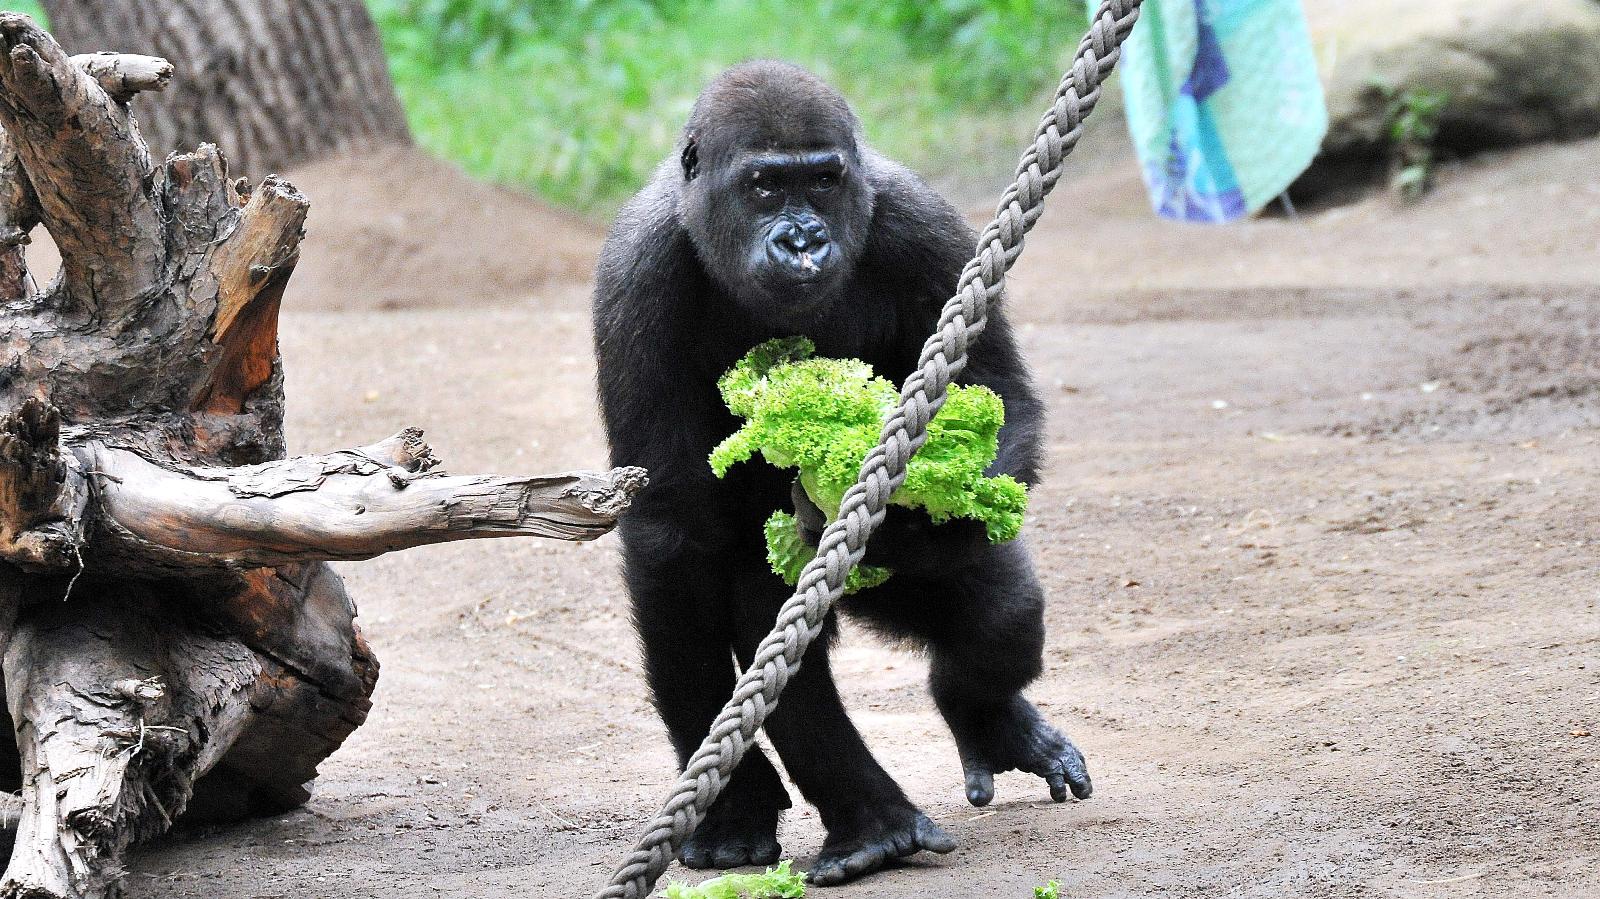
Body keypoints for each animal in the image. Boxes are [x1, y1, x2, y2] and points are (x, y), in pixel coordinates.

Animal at [595, 61, 1094, 883]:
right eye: (765, 186)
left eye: (824, 181)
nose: (803, 238)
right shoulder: (635, 277)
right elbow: (672, 534)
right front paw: (732, 805)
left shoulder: (926, 228)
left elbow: (996, 397)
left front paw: (899, 520)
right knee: (765, 618)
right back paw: (875, 827)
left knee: (999, 612)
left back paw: (981, 720)